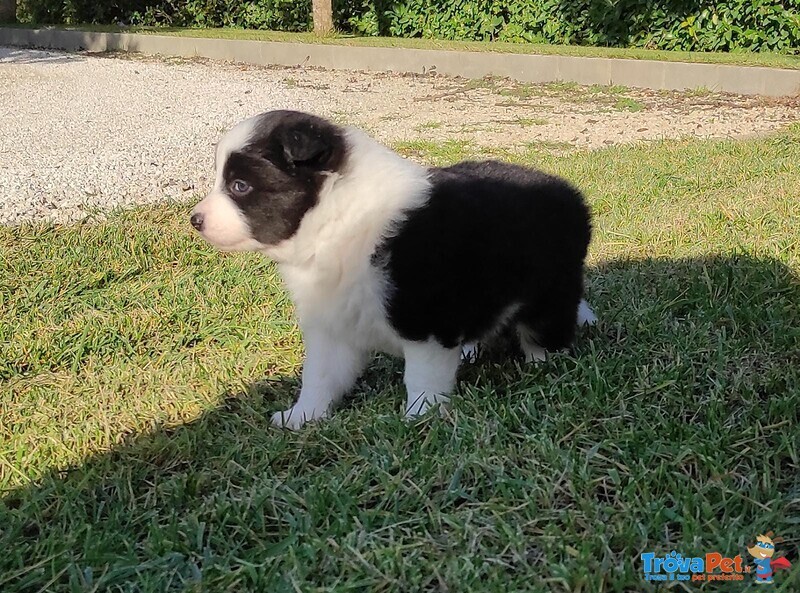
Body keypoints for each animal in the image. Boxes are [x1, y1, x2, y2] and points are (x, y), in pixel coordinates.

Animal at [191, 108, 592, 428]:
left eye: (240, 186)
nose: (195, 220)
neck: (335, 218)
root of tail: (569, 192)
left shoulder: (425, 321)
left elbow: (422, 377)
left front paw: (419, 419)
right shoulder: (331, 323)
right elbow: (319, 377)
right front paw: (301, 417)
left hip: (550, 289)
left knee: (545, 329)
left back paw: (544, 364)